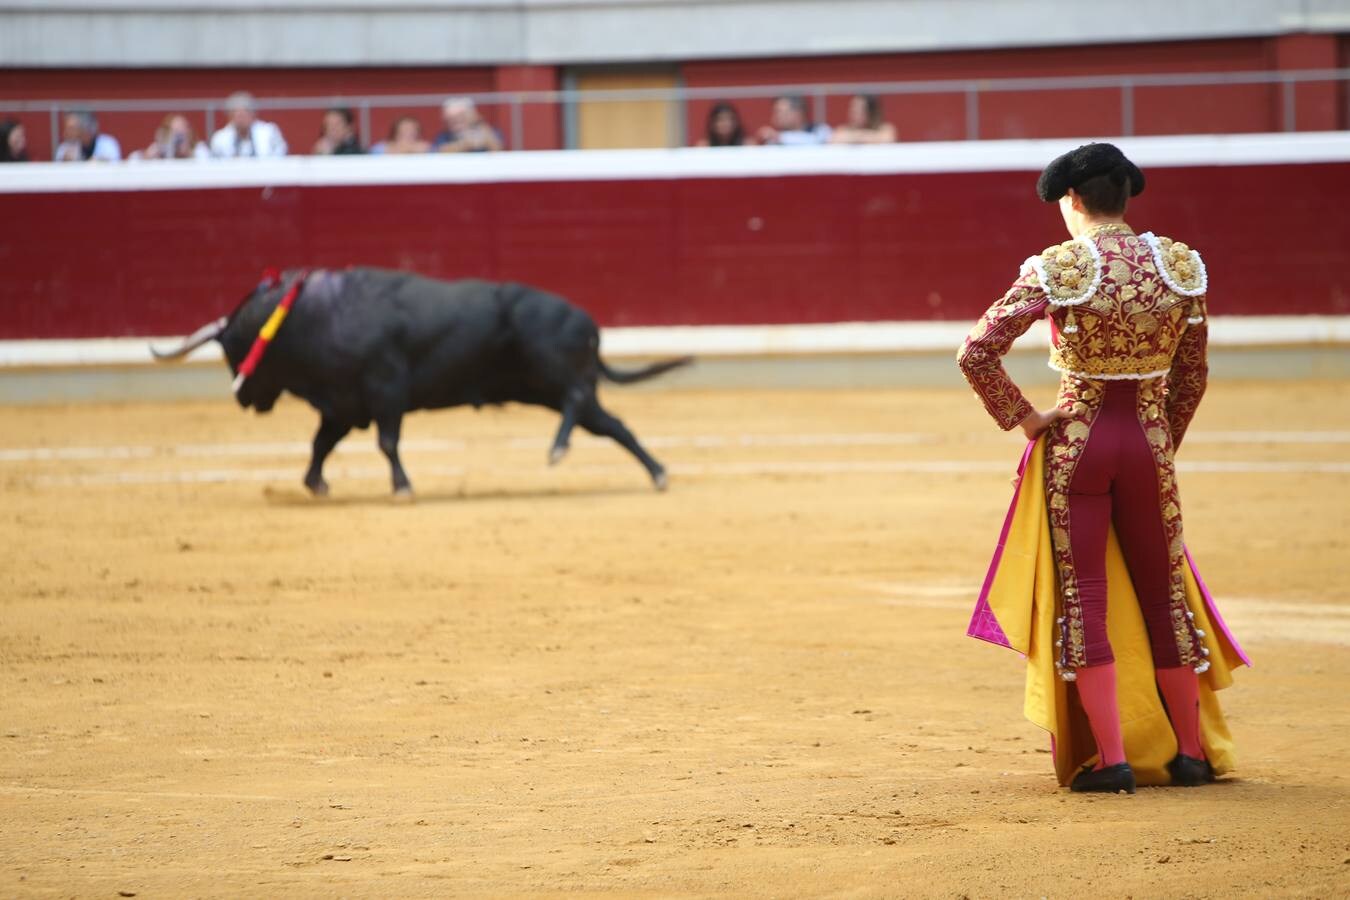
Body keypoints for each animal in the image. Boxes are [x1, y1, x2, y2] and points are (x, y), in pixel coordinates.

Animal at [153, 269, 691, 493]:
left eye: (234, 348)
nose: (245, 400)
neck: (316, 316)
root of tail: (589, 321)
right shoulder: (344, 405)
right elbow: (320, 444)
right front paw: (315, 483)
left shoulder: (385, 390)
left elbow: (387, 442)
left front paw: (402, 486)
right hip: (545, 386)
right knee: (610, 424)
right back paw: (658, 474)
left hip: (554, 372)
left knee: (578, 404)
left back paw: (558, 449)